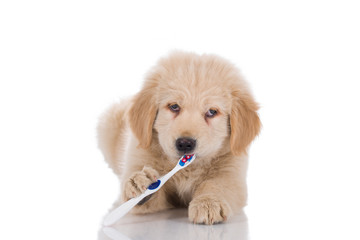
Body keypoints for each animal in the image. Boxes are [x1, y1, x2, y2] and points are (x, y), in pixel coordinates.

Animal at [97, 51, 262, 225]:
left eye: (212, 112)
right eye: (174, 106)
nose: (185, 144)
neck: (187, 168)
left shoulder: (232, 172)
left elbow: (218, 185)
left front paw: (208, 202)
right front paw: (140, 183)